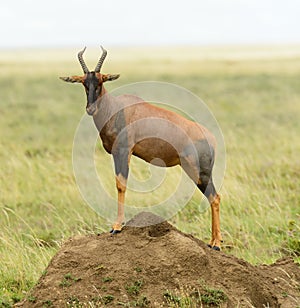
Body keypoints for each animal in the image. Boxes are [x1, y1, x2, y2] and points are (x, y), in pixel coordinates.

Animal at [59, 46, 223, 250]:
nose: (90, 109)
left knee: (215, 197)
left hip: (200, 171)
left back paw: (216, 243)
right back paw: (212, 242)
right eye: (83, 82)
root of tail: (211, 138)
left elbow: (121, 184)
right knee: (213, 197)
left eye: (101, 81)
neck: (117, 108)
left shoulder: (122, 152)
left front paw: (117, 227)